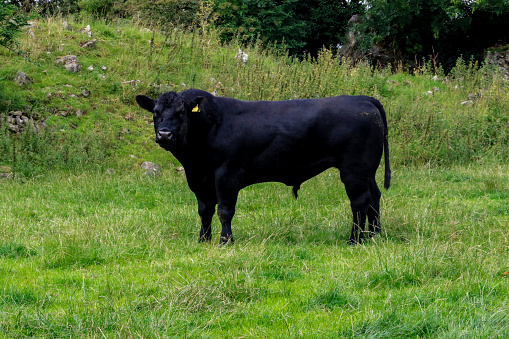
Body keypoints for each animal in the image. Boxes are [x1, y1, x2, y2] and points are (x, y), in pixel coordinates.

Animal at [135, 89, 388, 246]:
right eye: (156, 113)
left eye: (181, 112)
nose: (164, 134)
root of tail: (362, 99)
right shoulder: (199, 179)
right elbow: (204, 211)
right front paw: (203, 240)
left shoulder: (226, 175)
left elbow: (225, 211)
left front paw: (225, 241)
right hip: (368, 170)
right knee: (374, 197)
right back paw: (374, 234)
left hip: (354, 170)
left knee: (359, 202)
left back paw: (355, 239)